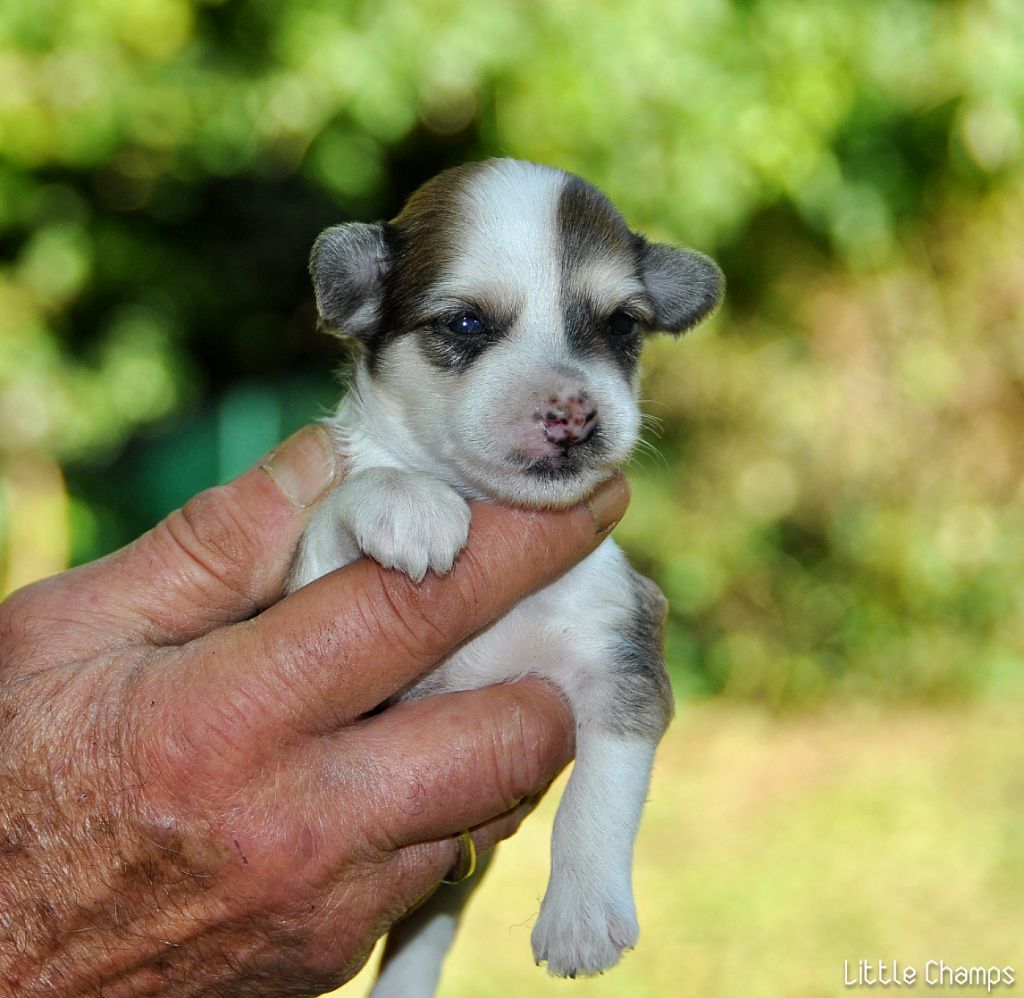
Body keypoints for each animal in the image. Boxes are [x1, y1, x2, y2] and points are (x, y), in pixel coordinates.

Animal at [284, 159, 724, 994]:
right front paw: (406, 501)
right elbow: (335, 515)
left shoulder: (622, 652)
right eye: (465, 325)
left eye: (622, 325)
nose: (574, 413)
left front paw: (581, 917)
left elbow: (600, 791)